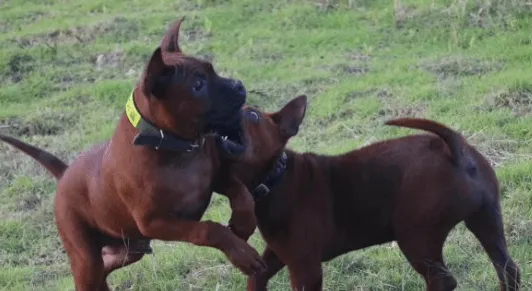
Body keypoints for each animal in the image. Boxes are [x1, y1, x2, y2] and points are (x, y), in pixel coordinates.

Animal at [0, 17, 266, 291]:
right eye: (198, 85)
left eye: (212, 70)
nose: (239, 85)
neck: (176, 150)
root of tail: (64, 173)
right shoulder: (156, 222)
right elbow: (207, 229)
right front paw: (242, 254)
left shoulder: (217, 176)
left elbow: (241, 192)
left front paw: (243, 222)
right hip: (87, 254)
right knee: (92, 272)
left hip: (129, 248)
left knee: (106, 265)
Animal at [232, 117, 520, 290]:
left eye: (252, 116)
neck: (275, 177)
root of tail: (455, 151)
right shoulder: (278, 253)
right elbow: (256, 276)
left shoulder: (305, 266)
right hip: (486, 221)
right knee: (507, 269)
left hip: (417, 239)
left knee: (443, 281)